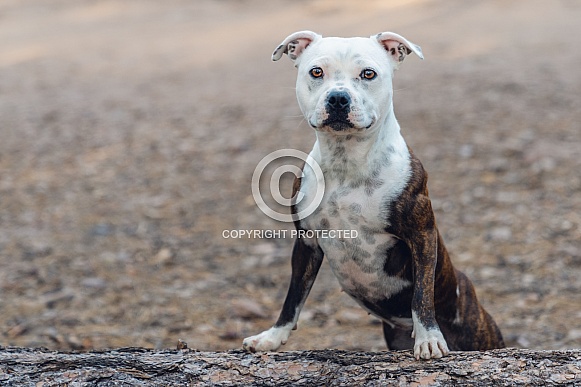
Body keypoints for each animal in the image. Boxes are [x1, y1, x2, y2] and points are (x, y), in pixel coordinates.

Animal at [240, 31, 502, 360]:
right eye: (316, 72)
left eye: (368, 74)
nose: (338, 98)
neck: (347, 162)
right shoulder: (306, 242)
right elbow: (293, 297)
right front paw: (272, 337)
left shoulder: (422, 234)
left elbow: (422, 294)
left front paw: (428, 338)